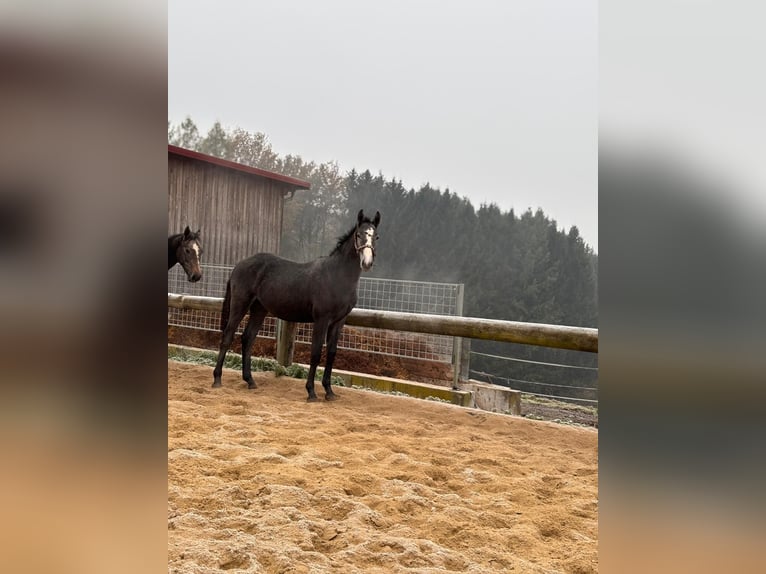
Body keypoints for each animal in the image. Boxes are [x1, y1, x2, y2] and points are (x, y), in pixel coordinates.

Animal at [212, 209, 382, 402]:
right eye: (359, 234)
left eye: (376, 236)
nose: (367, 263)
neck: (337, 276)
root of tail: (238, 265)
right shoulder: (322, 319)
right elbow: (316, 353)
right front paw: (311, 392)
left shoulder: (339, 321)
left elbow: (331, 353)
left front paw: (329, 391)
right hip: (240, 304)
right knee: (227, 336)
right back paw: (217, 379)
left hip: (259, 309)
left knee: (248, 338)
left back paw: (250, 381)